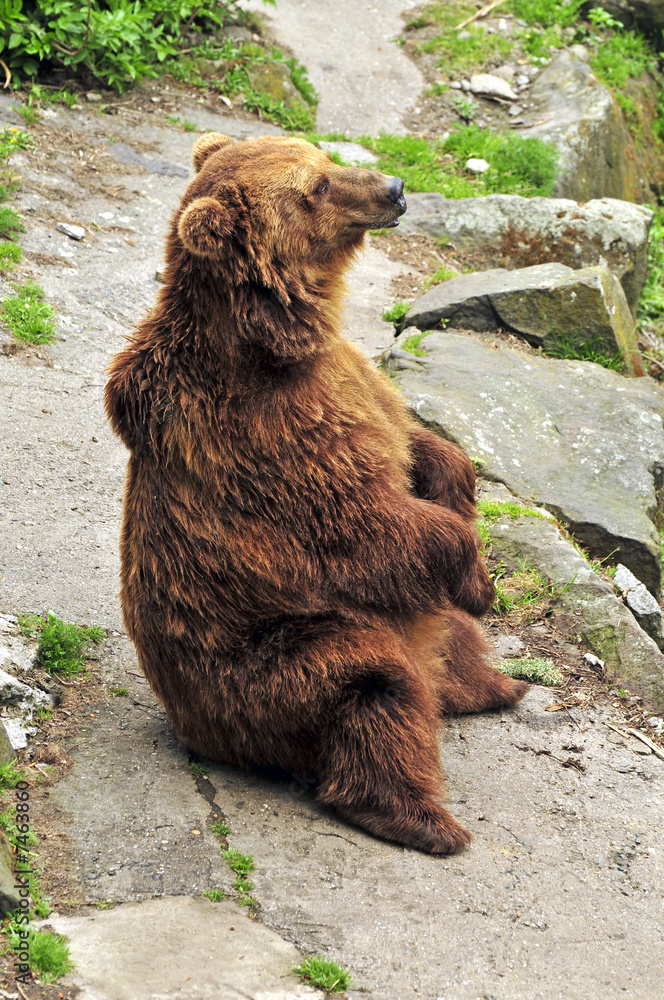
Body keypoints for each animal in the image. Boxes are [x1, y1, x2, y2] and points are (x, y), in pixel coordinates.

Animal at [105, 132, 528, 854]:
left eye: (324, 156)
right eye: (318, 187)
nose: (393, 187)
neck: (289, 338)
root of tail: (203, 735)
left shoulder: (352, 379)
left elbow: (416, 441)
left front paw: (458, 489)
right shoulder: (274, 434)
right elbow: (368, 523)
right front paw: (479, 579)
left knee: (450, 645)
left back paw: (501, 684)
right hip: (271, 658)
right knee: (376, 687)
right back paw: (426, 819)